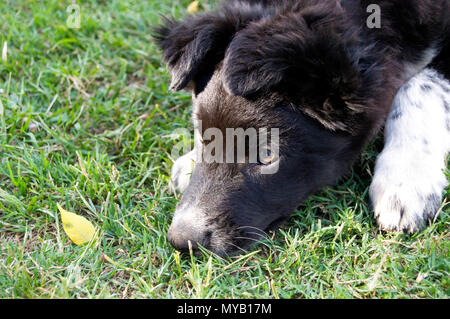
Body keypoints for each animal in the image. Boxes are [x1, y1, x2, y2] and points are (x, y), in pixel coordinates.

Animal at [156, 0, 450, 255]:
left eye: (267, 156)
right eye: (202, 134)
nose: (182, 239)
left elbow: (419, 86)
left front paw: (405, 181)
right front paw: (189, 161)